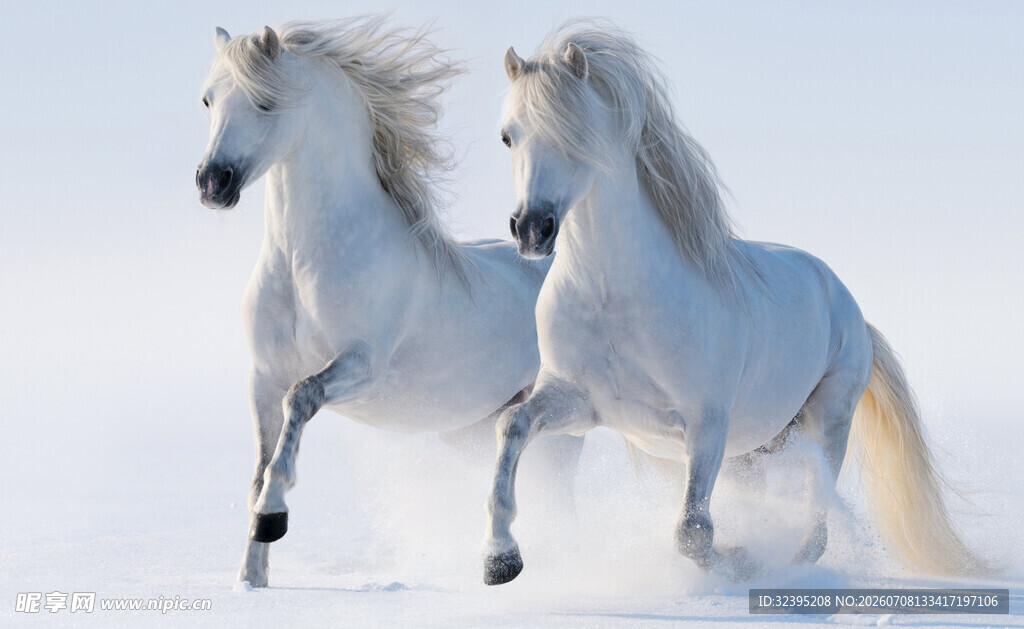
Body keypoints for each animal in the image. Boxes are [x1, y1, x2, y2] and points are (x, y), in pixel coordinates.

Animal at [195, 17, 582, 588]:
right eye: (208, 100)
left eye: (265, 102)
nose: (212, 183)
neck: (302, 262)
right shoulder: (262, 376)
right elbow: (259, 468)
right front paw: (251, 579)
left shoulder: (361, 365)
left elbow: (301, 400)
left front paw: (273, 518)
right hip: (470, 429)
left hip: (561, 426)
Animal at [482, 20, 983, 585]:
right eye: (508, 135)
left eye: (576, 133)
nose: (532, 229)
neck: (614, 299)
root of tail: (851, 309)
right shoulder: (579, 402)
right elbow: (511, 425)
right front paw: (500, 559)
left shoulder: (706, 424)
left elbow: (693, 532)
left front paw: (740, 561)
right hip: (753, 451)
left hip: (825, 424)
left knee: (816, 525)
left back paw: (784, 569)